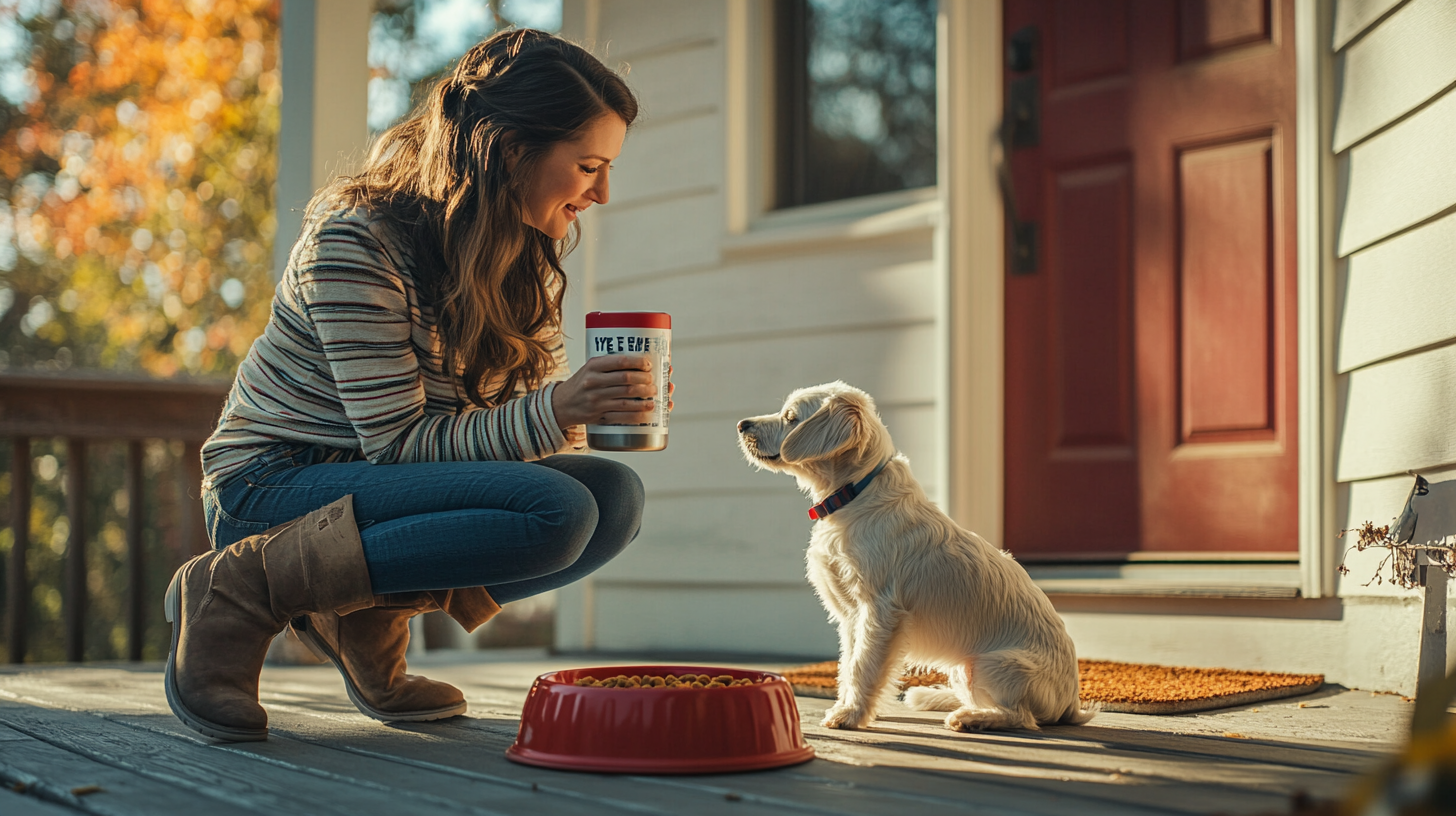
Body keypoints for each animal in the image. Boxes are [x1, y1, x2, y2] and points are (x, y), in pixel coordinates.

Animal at [739, 381, 1094, 734]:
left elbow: (863, 666)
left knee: (1022, 717)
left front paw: (851, 715)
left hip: (989, 665)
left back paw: (971, 718)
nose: (742, 424)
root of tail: (1071, 704)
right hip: (962, 668)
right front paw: (850, 707)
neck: (854, 494)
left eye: (791, 417)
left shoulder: (880, 610)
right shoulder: (851, 616)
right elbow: (848, 665)